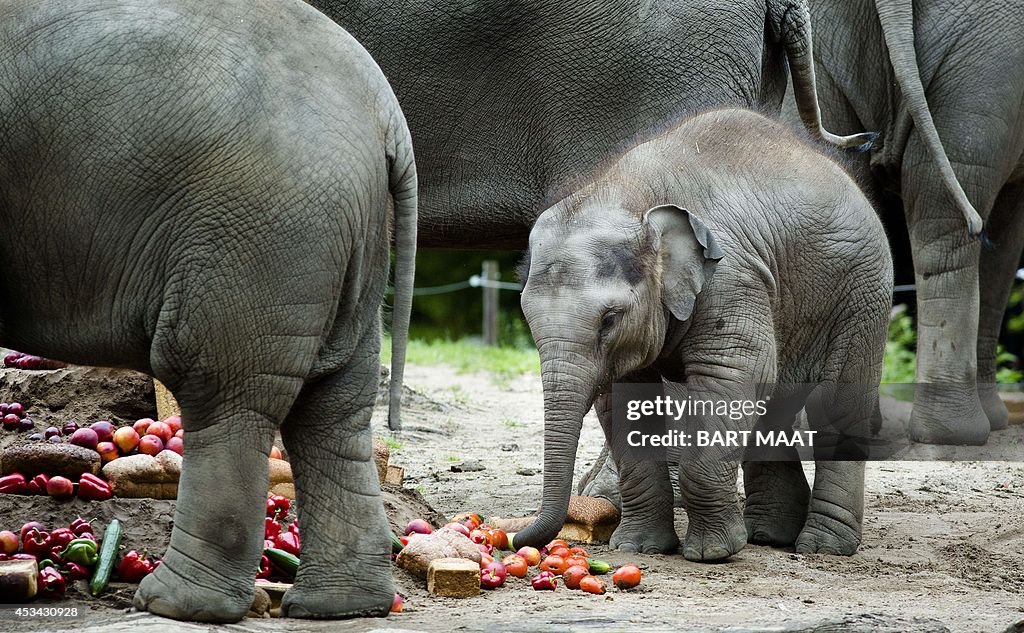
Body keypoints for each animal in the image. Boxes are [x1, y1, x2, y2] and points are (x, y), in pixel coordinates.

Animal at [2, 0, 415, 622]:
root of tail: (385, 114)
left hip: (262, 222)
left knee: (218, 385)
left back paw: (175, 603)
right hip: (352, 234)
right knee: (335, 400)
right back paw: (340, 606)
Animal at [516, 107, 892, 557]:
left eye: (610, 319)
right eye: (526, 315)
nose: (517, 540)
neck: (629, 193)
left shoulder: (731, 278)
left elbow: (731, 378)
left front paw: (712, 554)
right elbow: (627, 400)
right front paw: (640, 548)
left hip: (863, 293)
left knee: (836, 404)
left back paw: (821, 547)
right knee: (775, 406)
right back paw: (769, 535)